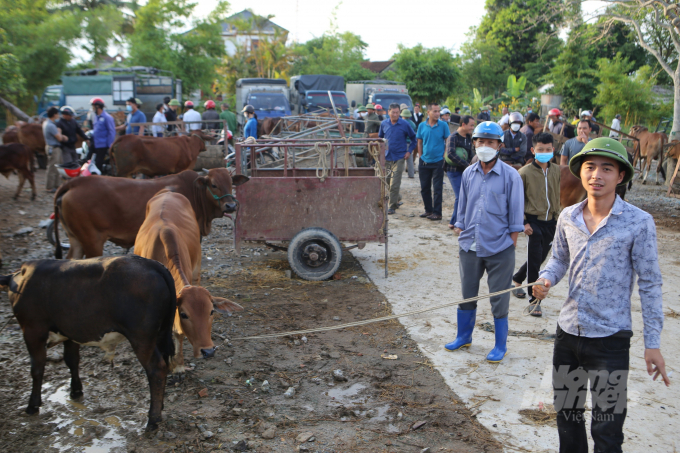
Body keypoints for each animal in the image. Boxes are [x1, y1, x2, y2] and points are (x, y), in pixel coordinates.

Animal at [0, 256, 178, 430]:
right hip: (160, 334)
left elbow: (37, 369)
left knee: (156, 369)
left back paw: (153, 419)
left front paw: (33, 405)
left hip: (141, 338)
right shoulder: (69, 332)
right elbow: (72, 360)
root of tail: (150, 263)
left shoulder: (33, 330)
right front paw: (76, 390)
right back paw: (160, 407)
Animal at [53, 167, 250, 260]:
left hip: (76, 239)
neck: (194, 191)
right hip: (92, 240)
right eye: (214, 184)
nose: (230, 205)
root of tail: (74, 183)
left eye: (231, 183)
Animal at [133, 189, 242, 372]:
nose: (208, 351)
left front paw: (179, 366)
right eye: (184, 314)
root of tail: (167, 191)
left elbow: (178, 333)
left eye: (211, 311)